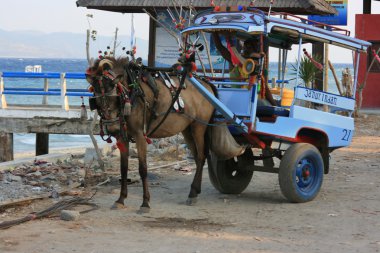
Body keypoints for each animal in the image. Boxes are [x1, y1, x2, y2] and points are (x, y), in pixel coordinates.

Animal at [85, 56, 218, 211]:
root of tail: (206, 84)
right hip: (187, 129)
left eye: (115, 98)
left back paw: (192, 193)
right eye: (95, 100)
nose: (112, 128)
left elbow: (143, 169)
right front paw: (121, 199)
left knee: (202, 157)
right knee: (197, 158)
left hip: (199, 127)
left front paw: (145, 202)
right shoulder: (122, 137)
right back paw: (195, 190)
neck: (131, 93)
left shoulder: (140, 136)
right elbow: (123, 169)